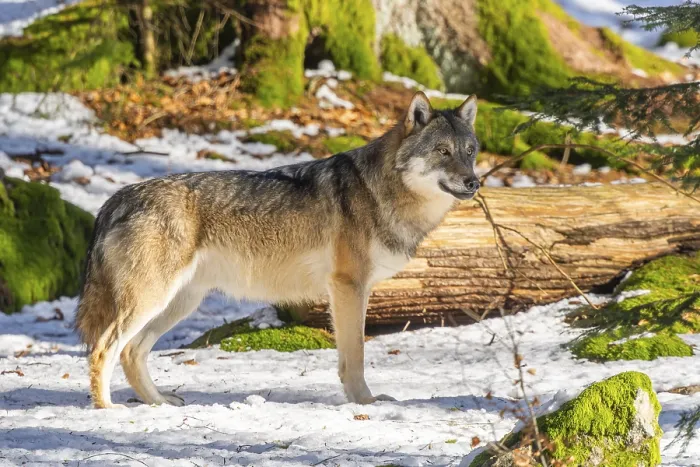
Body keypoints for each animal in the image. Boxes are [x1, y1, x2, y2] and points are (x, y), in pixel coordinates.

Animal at [75, 91, 480, 408]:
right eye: (443, 152)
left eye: (470, 151)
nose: (474, 182)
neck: (380, 190)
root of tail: (118, 197)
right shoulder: (348, 287)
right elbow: (355, 357)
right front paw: (365, 402)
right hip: (152, 300)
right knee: (103, 349)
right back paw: (106, 409)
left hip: (178, 303)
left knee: (131, 352)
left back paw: (158, 403)